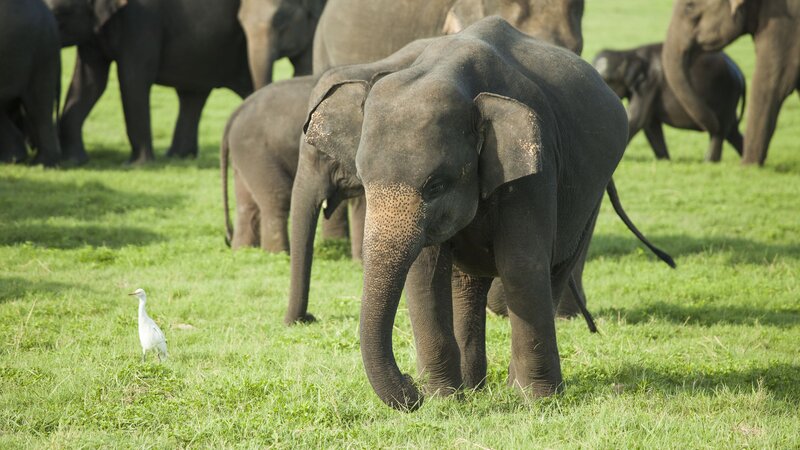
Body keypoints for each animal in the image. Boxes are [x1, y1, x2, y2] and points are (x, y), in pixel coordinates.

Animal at [220, 75, 354, 255]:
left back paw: (243, 251)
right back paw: (279, 254)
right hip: (258, 153)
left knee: (246, 204)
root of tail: (237, 111)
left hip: (243, 156)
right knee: (278, 197)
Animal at [304, 18, 636, 412]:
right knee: (466, 283)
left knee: (556, 268)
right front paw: (444, 398)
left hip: (591, 192)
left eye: (435, 186)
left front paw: (536, 401)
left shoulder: (536, 168)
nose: (410, 387)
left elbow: (521, 264)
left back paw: (511, 386)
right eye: (363, 180)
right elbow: (426, 271)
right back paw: (473, 388)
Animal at [592, 42, 748, 162]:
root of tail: (740, 73)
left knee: (719, 131)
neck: (628, 52)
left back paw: (709, 162)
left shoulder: (648, 84)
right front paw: (664, 160)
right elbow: (650, 124)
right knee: (732, 131)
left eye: (607, 80)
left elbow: (636, 119)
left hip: (726, 95)